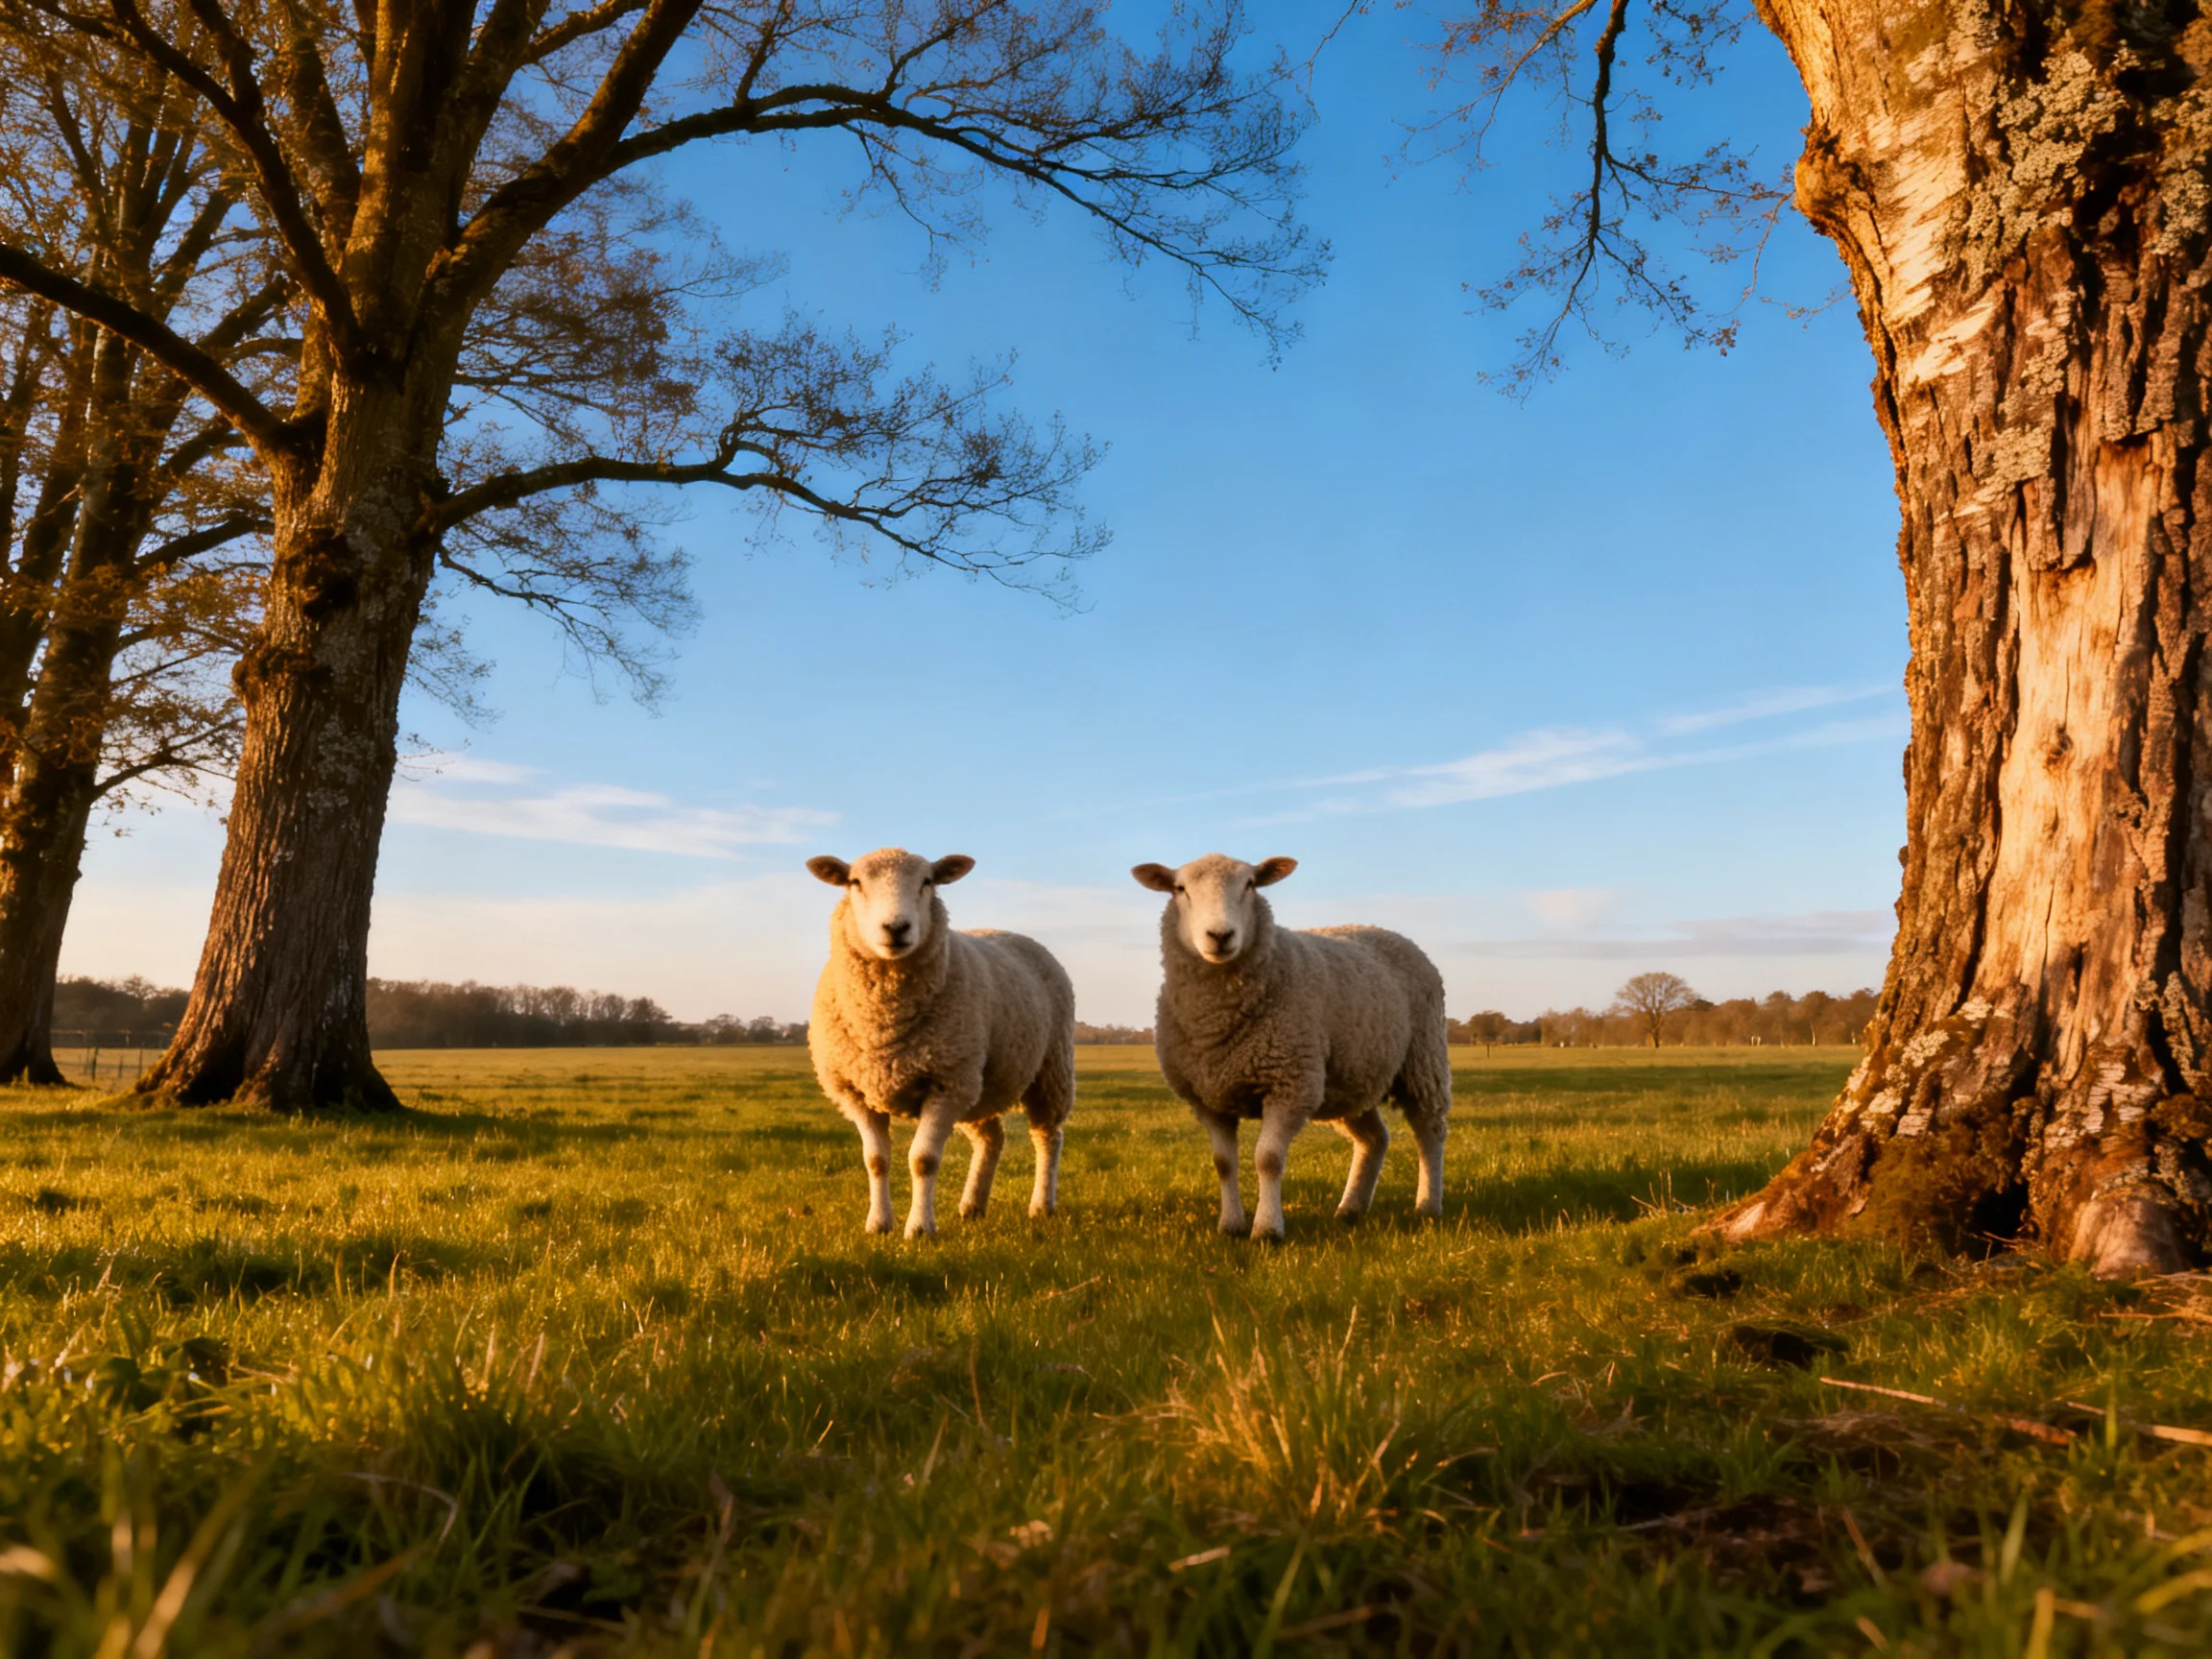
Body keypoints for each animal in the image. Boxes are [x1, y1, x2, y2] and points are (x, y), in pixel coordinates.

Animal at [806, 848, 1075, 1238]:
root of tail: (1008, 931)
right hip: (979, 1084)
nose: (896, 928)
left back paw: (1041, 1205)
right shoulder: (855, 1091)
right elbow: (875, 1160)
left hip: (1049, 1068)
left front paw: (920, 1229)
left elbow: (923, 1160)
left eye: (927, 881)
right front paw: (878, 1224)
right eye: (855, 882)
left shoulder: (945, 1084)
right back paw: (973, 1205)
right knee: (991, 1138)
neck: (885, 1024)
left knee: (1048, 1136)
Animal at [1131, 853, 1449, 1240]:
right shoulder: (1208, 1099)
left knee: (1429, 1130)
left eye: (1250, 884)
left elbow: (1267, 1159)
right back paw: (1350, 1210)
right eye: (1180, 889)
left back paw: (1428, 1205)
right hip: (1350, 1078)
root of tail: (1387, 931)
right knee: (1374, 1138)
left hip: (1423, 1059)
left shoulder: (1289, 1085)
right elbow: (1223, 1164)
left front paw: (1267, 1230)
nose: (1220, 936)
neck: (1218, 1019)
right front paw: (1231, 1226)